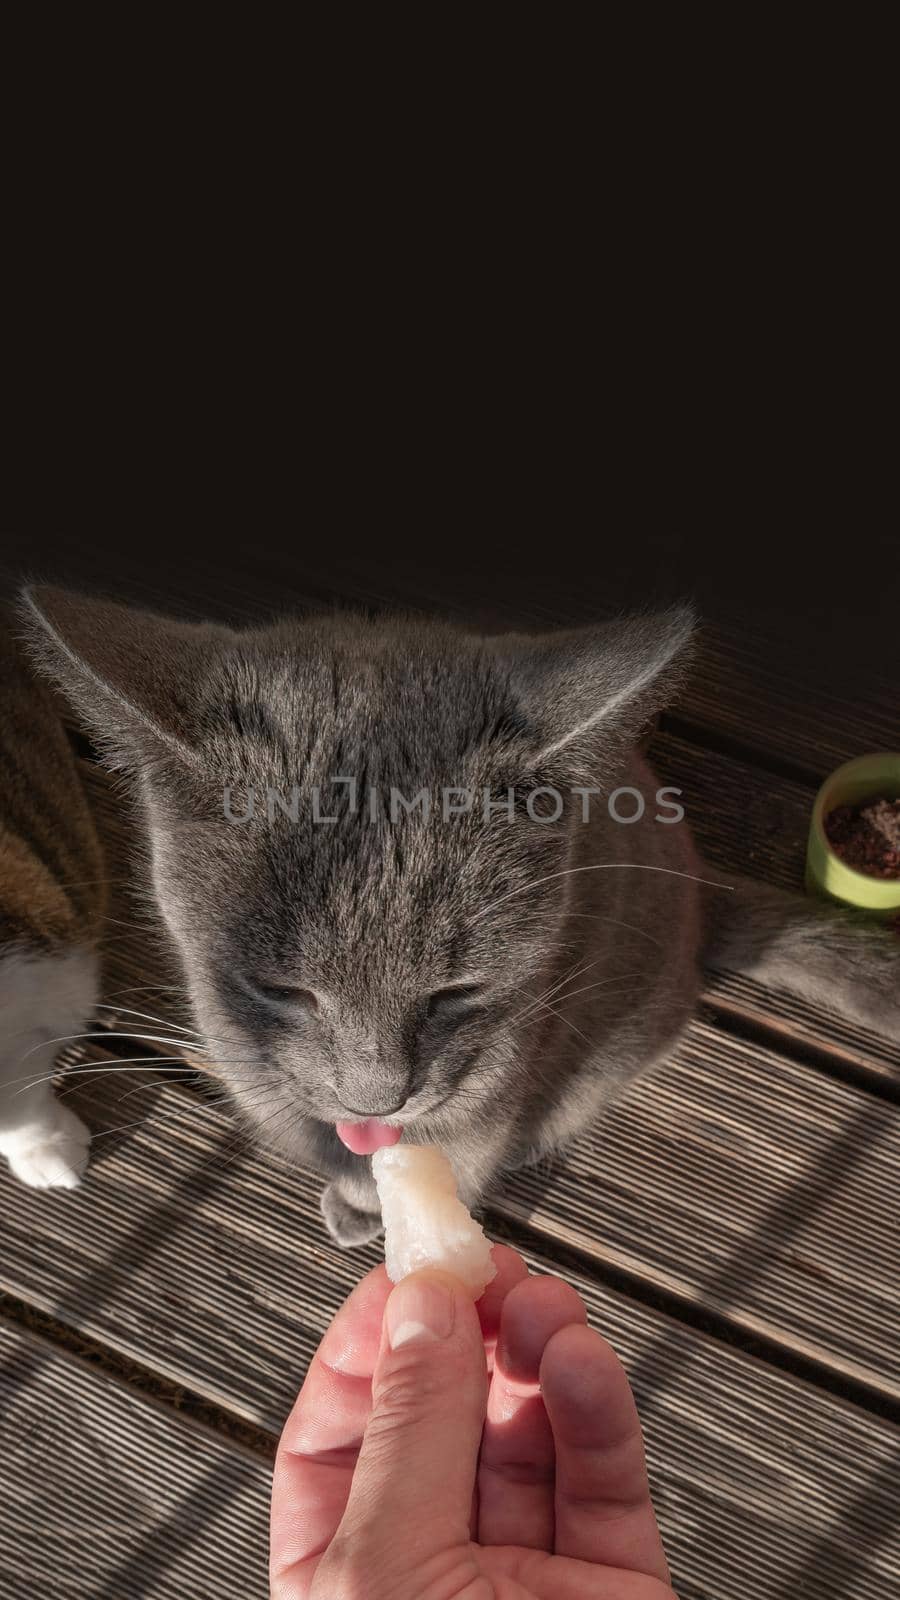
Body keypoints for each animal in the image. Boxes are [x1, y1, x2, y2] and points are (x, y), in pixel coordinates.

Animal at [15, 592, 896, 1248]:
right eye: (283, 989)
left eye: (458, 992)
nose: (376, 1100)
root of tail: (702, 888)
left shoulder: (491, 1091)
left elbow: (448, 1157)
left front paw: (371, 1208)